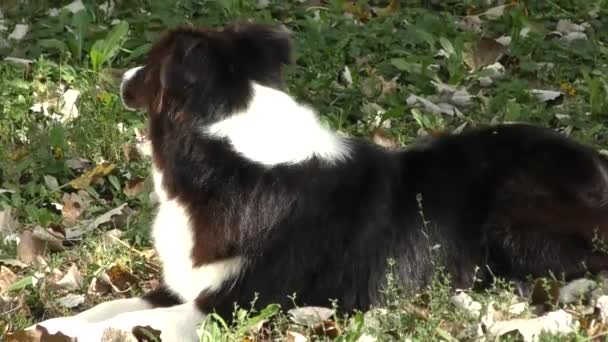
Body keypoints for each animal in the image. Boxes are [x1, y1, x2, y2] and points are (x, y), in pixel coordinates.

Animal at [30, 23, 608, 340]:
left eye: (150, 67)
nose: (121, 79)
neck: (230, 156)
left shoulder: (230, 308)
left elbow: (119, 325)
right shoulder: (185, 285)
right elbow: (109, 308)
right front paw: (51, 323)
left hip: (517, 210)